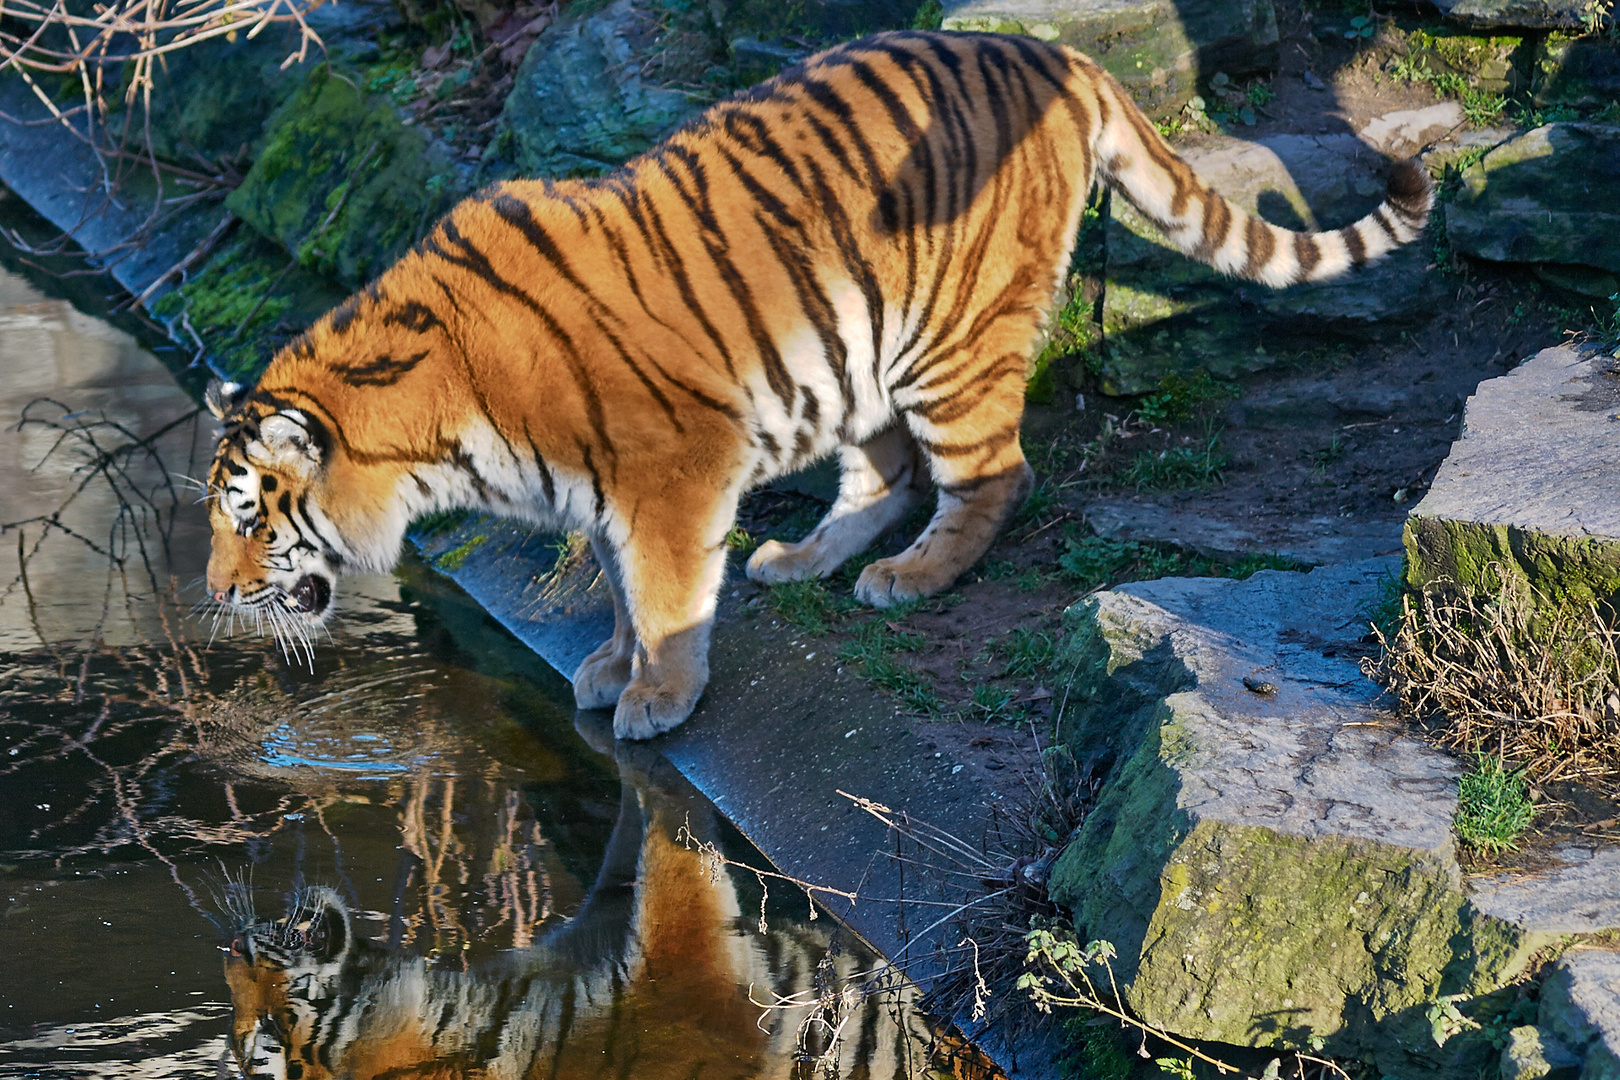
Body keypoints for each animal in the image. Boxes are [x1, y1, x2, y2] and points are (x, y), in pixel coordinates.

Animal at [205, 27, 1432, 744]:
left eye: (251, 522)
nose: (214, 595)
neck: (431, 433)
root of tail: (1054, 55)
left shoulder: (670, 468)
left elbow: (664, 593)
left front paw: (659, 695)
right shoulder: (604, 488)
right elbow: (616, 585)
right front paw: (607, 666)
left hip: (953, 340)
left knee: (995, 473)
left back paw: (912, 578)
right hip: (861, 358)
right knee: (884, 476)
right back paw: (802, 560)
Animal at [215, 744, 946, 1080]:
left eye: (271, 1027)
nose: (234, 951)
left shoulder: (597, 925)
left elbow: (633, 846)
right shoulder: (694, 977)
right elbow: (675, 858)